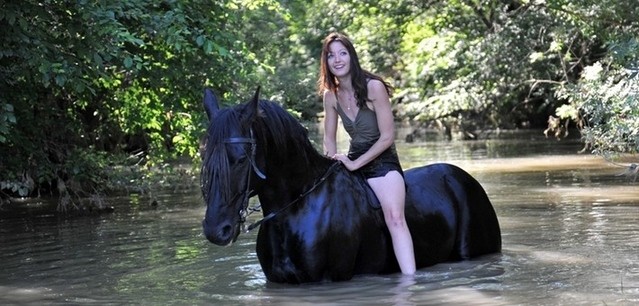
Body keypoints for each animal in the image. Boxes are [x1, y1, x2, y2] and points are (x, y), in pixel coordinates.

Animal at [202, 87, 502, 284]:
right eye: (205, 158)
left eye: (241, 159)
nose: (216, 230)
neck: (297, 208)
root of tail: (466, 179)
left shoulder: (325, 281)